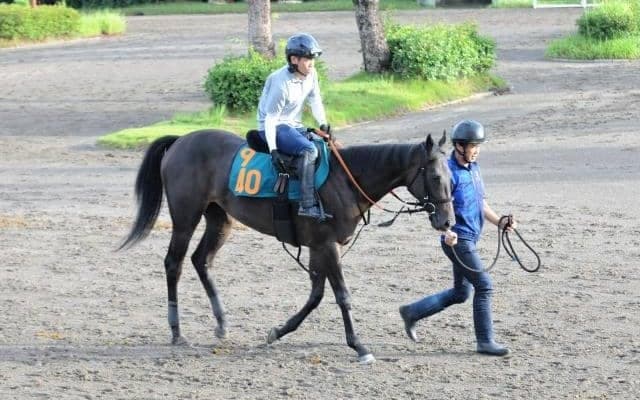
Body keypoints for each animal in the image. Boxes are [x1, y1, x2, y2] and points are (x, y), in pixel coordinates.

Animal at [120, 128, 454, 363]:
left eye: (452, 176)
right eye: (437, 176)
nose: (447, 221)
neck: (344, 181)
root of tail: (180, 141)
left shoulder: (318, 246)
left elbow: (316, 295)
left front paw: (277, 331)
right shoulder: (327, 244)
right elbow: (342, 296)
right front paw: (359, 346)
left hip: (220, 219)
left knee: (201, 260)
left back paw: (222, 323)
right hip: (185, 218)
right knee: (173, 264)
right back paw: (176, 332)